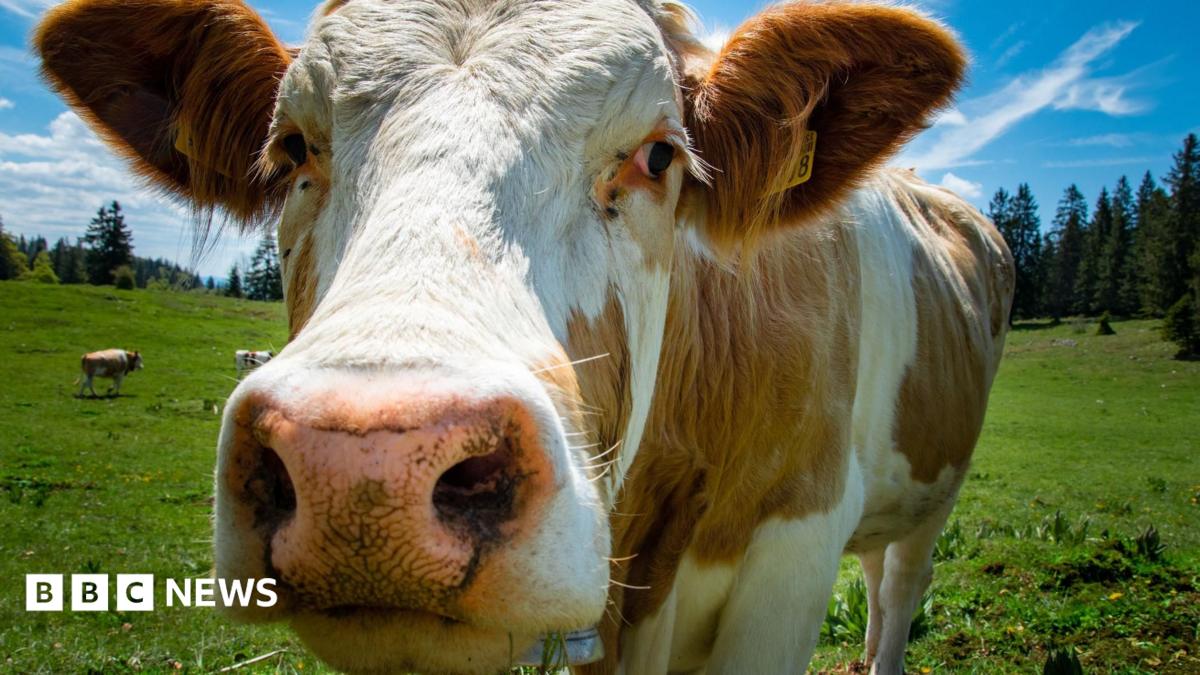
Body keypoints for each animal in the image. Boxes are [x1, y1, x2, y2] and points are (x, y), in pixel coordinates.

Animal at [36, 1, 1014, 673]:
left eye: (658, 155)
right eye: (290, 148)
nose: (361, 468)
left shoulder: (789, 553)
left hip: (935, 494)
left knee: (899, 587)